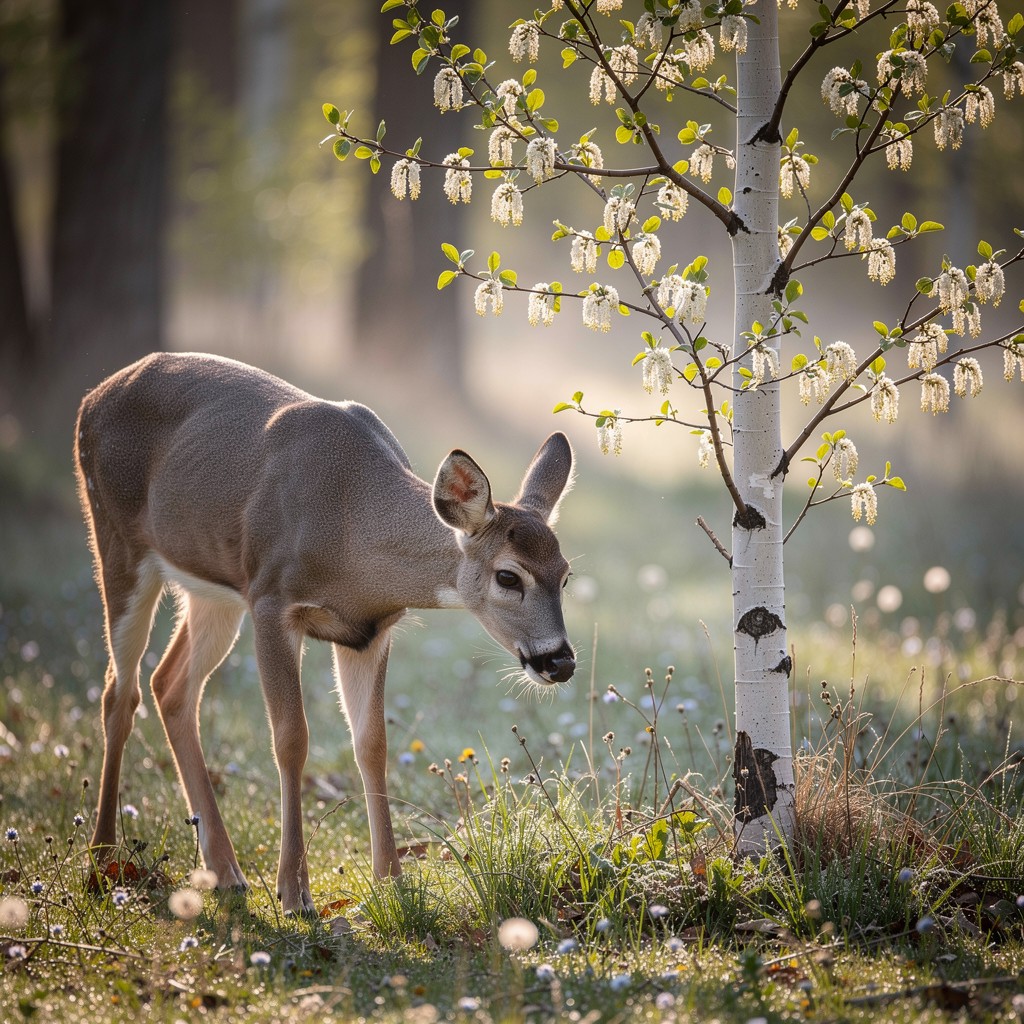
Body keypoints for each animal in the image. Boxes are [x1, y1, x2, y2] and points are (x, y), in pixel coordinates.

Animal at [74, 351, 576, 915]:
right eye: (508, 576)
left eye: (565, 574)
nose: (560, 661)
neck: (350, 527)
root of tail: (94, 396)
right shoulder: (271, 601)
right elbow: (291, 739)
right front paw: (295, 892)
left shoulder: (372, 630)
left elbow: (372, 742)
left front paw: (391, 881)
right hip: (116, 538)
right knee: (120, 691)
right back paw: (102, 860)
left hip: (213, 591)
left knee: (170, 684)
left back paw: (225, 871)